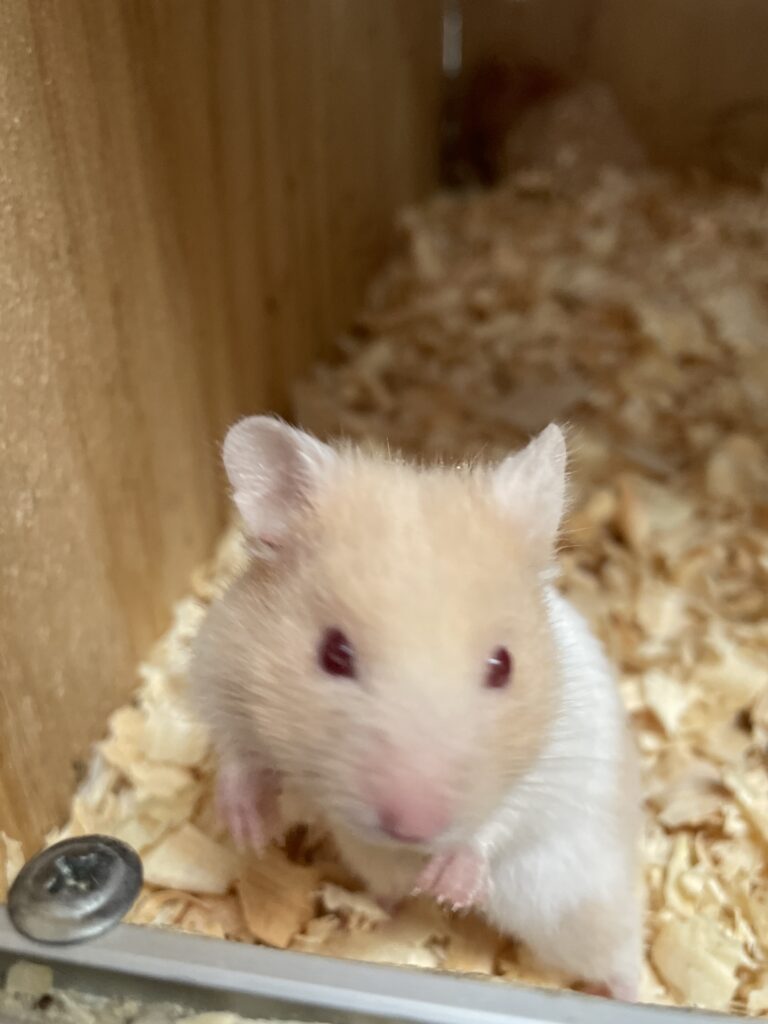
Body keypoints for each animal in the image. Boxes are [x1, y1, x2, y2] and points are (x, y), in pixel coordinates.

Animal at [189, 416, 643, 1001]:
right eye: (333, 653)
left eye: (503, 665)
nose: (413, 829)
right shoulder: (219, 667)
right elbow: (236, 752)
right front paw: (249, 831)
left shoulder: (557, 750)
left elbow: (503, 816)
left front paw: (449, 887)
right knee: (387, 891)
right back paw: (376, 907)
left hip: (579, 902)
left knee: (620, 950)